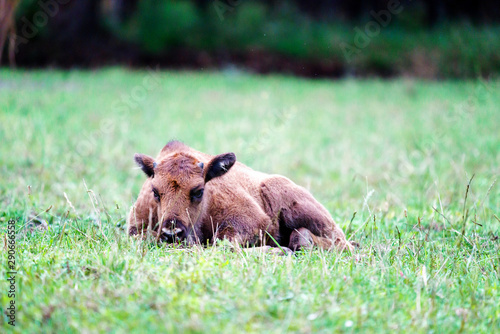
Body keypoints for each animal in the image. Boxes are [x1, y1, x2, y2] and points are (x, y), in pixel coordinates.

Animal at [129, 140, 356, 252]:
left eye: (199, 191)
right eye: (155, 191)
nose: (172, 233)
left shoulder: (249, 222)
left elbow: (224, 245)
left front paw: (279, 251)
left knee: (340, 243)